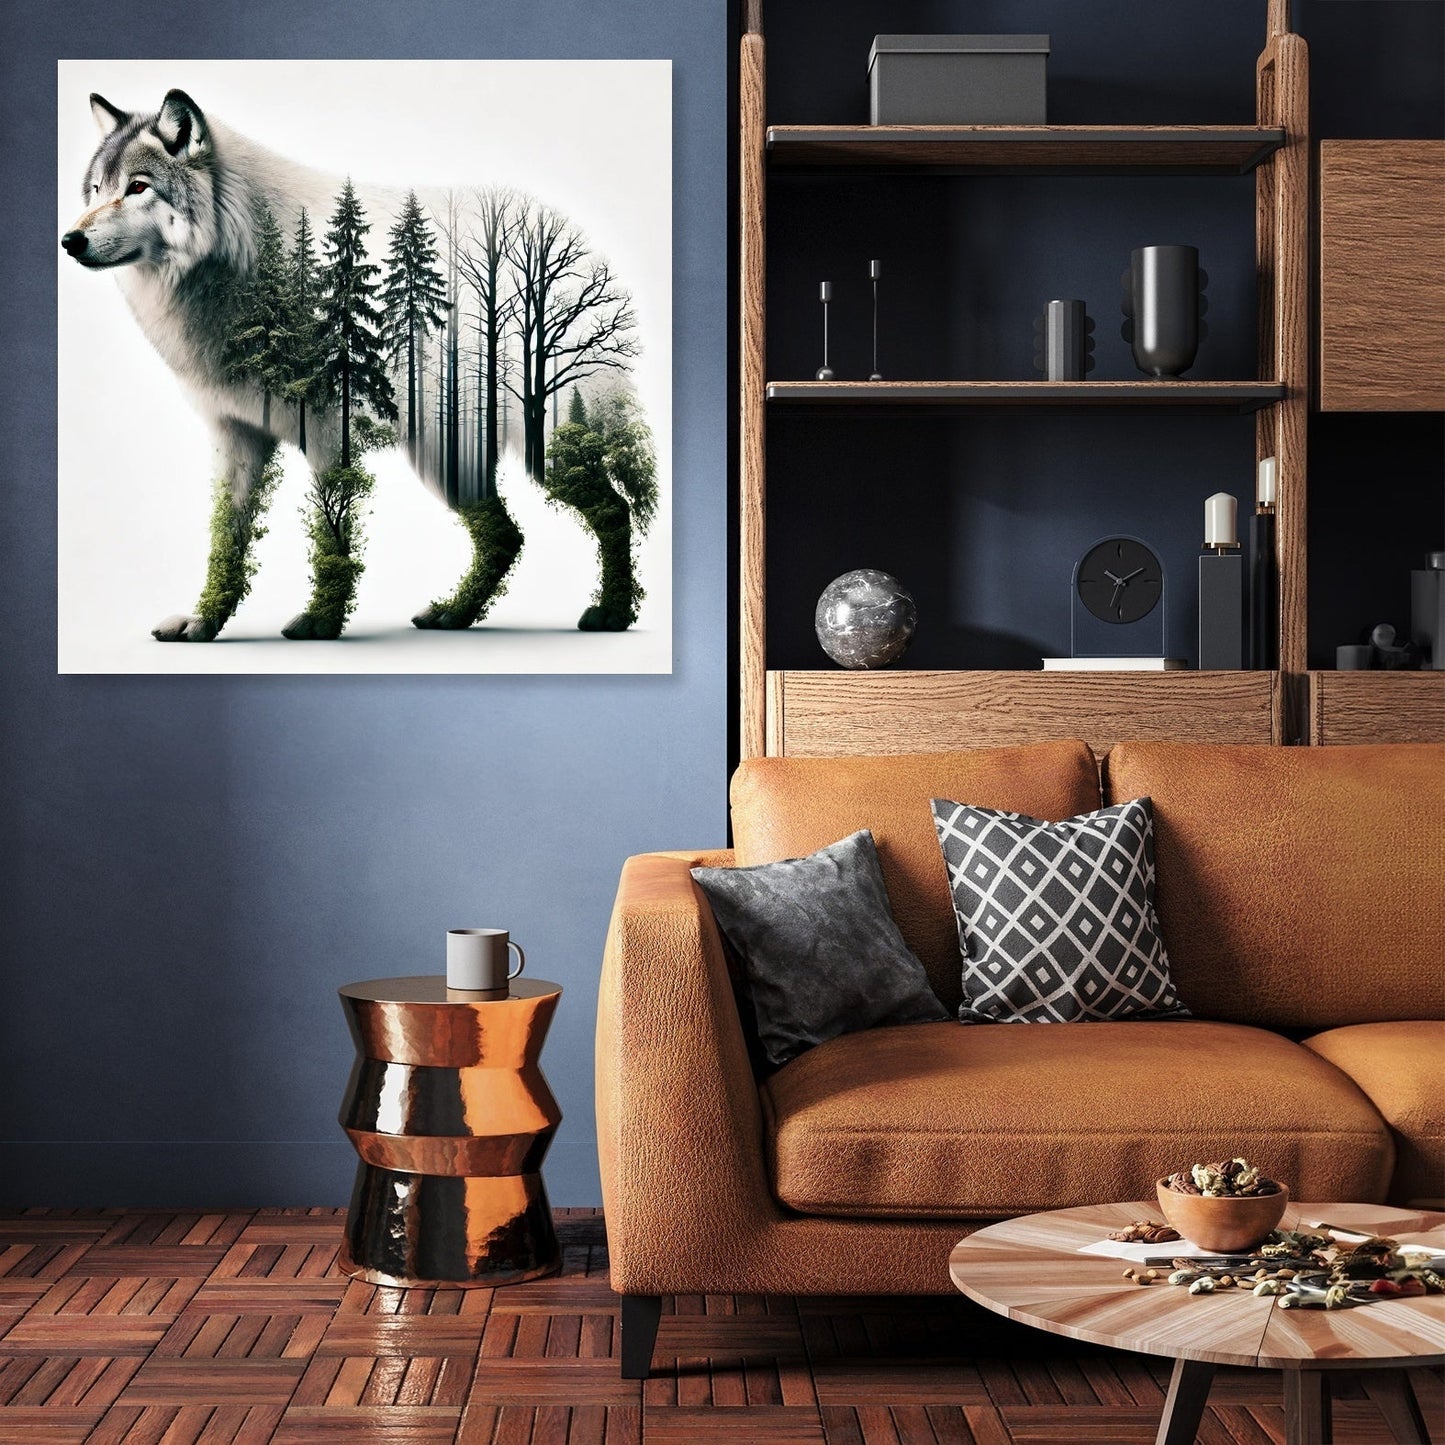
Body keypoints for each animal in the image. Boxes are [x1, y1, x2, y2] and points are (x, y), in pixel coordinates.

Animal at [62, 88, 653, 642]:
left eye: (138, 187)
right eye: (95, 191)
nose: (71, 239)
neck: (246, 267)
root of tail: (575, 241)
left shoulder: (330, 432)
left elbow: (332, 535)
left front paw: (321, 622)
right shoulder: (235, 435)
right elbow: (225, 539)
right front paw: (205, 622)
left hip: (540, 446)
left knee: (614, 511)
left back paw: (612, 615)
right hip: (448, 460)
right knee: (506, 536)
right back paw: (455, 614)